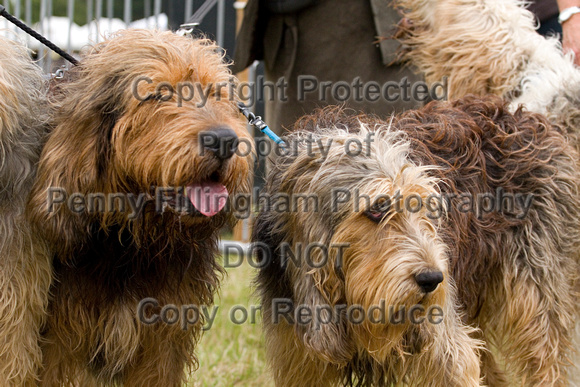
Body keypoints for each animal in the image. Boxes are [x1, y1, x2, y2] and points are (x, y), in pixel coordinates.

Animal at [25, 28, 251, 386]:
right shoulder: (59, 343)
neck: (132, 240)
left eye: (216, 93)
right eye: (159, 94)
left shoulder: (162, 343)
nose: (225, 140)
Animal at [254, 95, 580, 386]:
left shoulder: (448, 349)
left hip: (537, 299)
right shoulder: (301, 361)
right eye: (377, 208)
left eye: (425, 206)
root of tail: (529, 118)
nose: (432, 279)